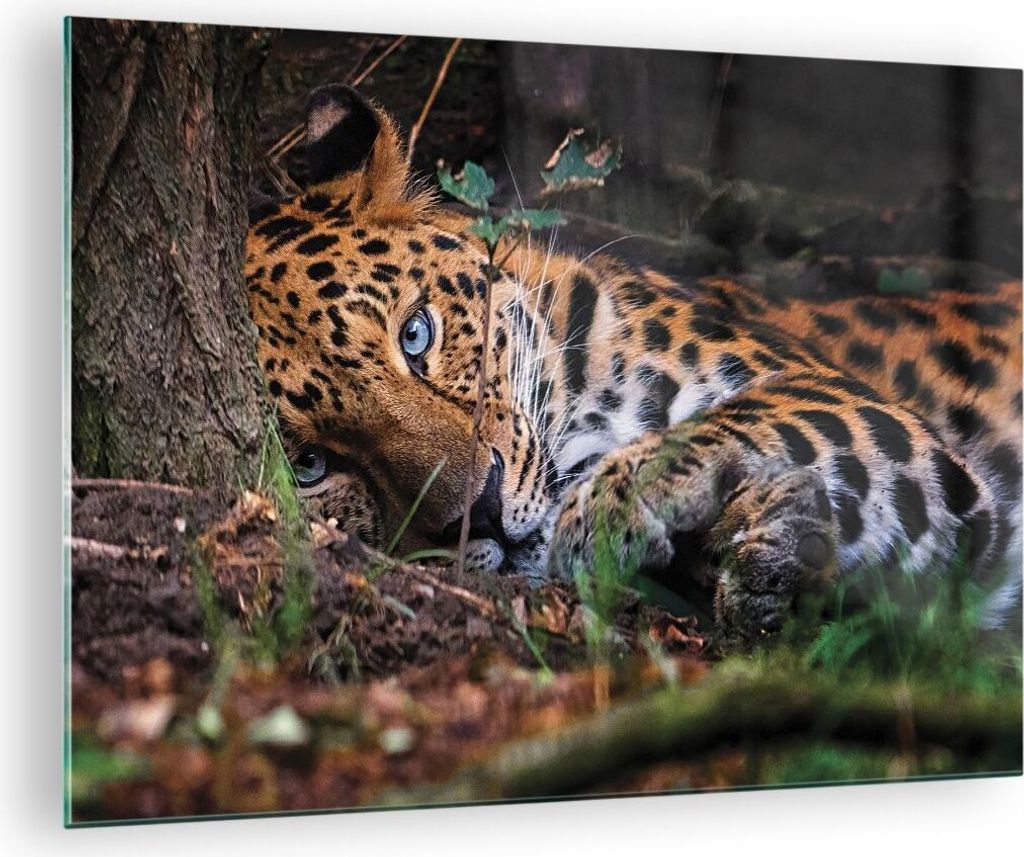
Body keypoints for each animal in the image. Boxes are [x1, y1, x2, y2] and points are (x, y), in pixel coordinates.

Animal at [246, 84, 1022, 645]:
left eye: (415, 335)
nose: (483, 512)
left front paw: (618, 502)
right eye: (309, 467)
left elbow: (755, 413)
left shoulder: (852, 401)